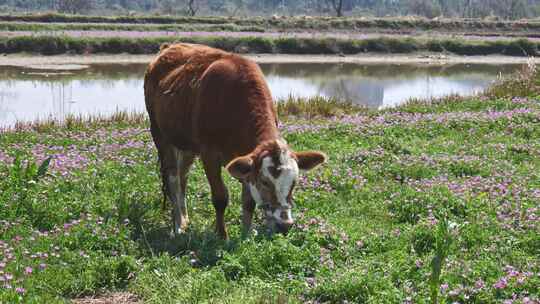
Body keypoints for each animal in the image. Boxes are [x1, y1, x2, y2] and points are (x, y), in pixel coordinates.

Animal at [143, 42, 324, 239]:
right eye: (265, 182)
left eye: (294, 182)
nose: (284, 225)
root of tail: (169, 46)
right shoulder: (209, 153)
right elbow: (220, 197)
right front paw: (222, 235)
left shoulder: (246, 158)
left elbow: (248, 202)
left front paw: (246, 235)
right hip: (159, 133)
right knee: (172, 178)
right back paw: (177, 226)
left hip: (186, 143)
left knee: (183, 175)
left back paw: (184, 219)